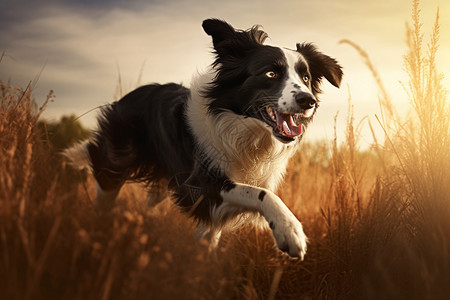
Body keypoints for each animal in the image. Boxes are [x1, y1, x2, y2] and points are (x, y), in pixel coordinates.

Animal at [65, 18, 342, 258]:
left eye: (306, 78)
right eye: (271, 74)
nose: (308, 100)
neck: (243, 129)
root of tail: (130, 95)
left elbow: (212, 235)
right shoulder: (202, 184)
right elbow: (262, 194)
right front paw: (290, 232)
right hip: (115, 162)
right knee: (104, 191)